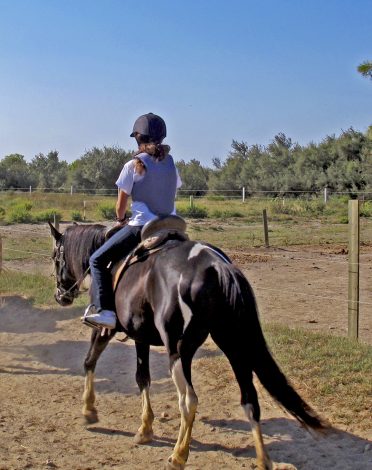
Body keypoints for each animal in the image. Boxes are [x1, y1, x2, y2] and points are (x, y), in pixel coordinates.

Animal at [48, 221, 326, 470]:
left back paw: (179, 455)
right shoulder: (140, 337)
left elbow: (89, 361)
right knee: (250, 399)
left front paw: (89, 410)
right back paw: (263, 460)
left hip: (179, 351)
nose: (60, 296)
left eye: (55, 258)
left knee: (189, 400)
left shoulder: (105, 329)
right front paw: (145, 428)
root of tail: (215, 266)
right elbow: (142, 378)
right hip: (233, 345)